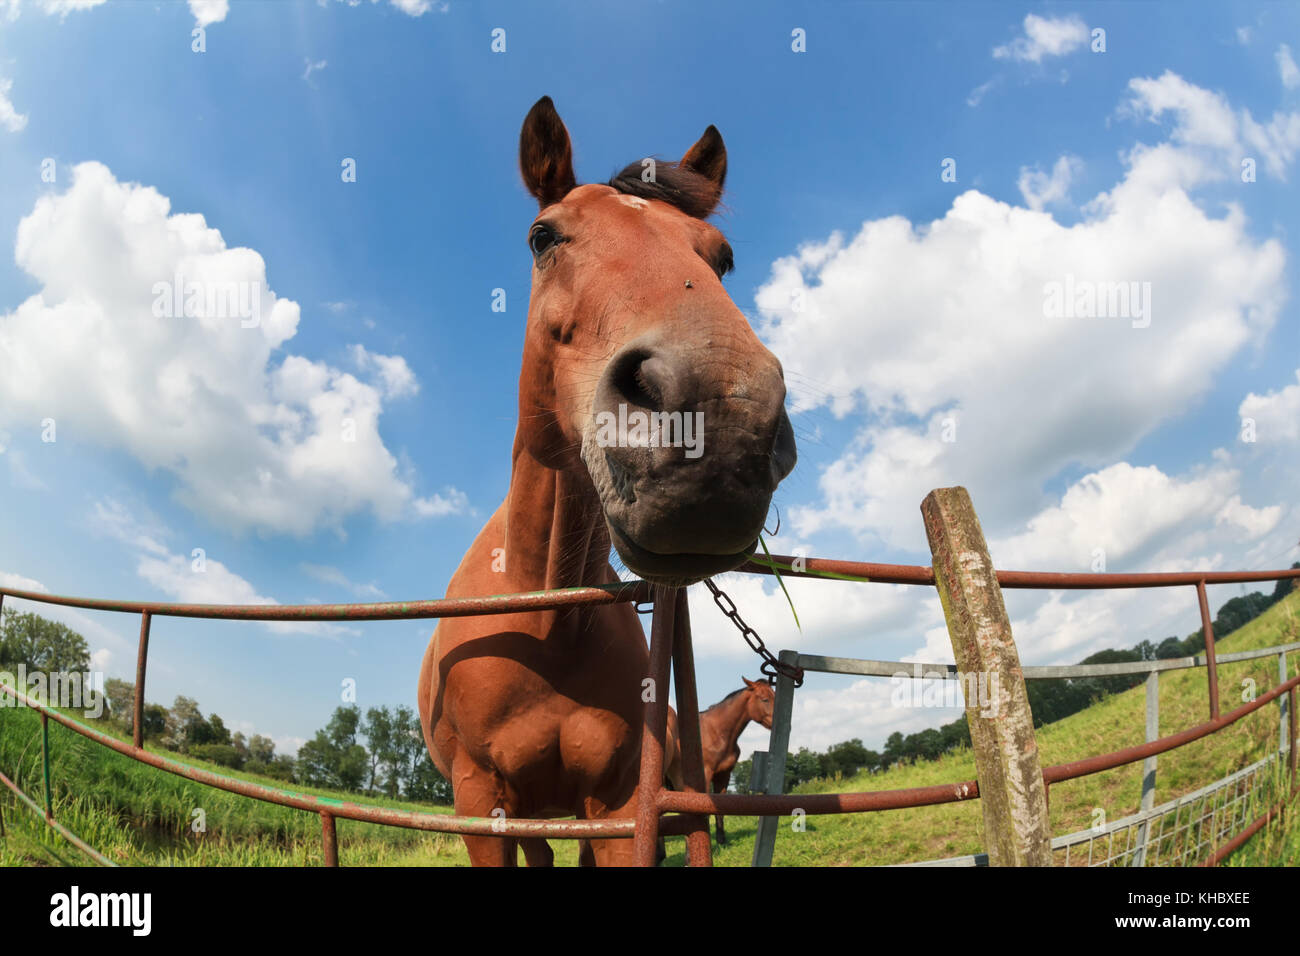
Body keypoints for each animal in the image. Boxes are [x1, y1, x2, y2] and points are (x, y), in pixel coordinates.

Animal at [670, 681, 769, 842]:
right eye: (765, 699)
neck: (717, 732)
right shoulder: (705, 774)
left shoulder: (723, 775)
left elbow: (720, 808)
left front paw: (721, 839)